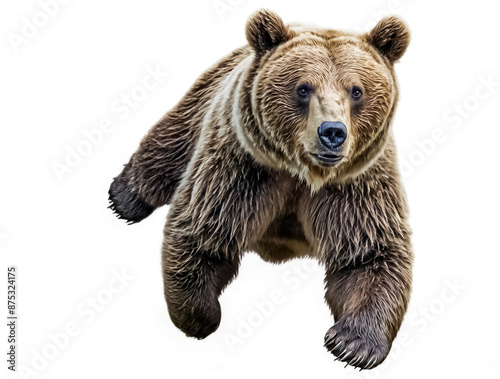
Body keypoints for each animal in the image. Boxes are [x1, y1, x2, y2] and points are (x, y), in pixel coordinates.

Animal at [109, 9, 414, 372]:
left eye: (356, 90)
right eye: (303, 88)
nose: (332, 133)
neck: (304, 174)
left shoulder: (357, 185)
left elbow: (369, 254)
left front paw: (354, 344)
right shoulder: (243, 169)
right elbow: (204, 233)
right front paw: (203, 316)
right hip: (204, 100)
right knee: (170, 142)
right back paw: (125, 197)